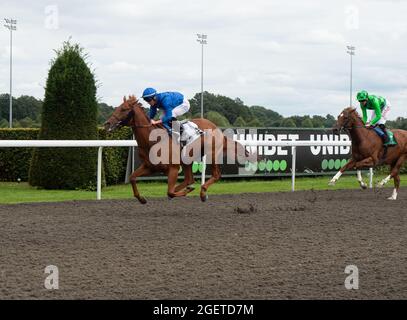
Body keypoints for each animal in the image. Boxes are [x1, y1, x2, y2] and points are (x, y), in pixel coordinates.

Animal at [105, 94, 252, 202]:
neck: (152, 140)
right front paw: (141, 198)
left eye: (123, 109)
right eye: (117, 107)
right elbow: (132, 178)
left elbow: (169, 192)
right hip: (187, 160)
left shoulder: (174, 168)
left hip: (212, 154)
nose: (107, 124)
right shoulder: (149, 166)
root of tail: (217, 128)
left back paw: (202, 192)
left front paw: (186, 191)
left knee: (215, 175)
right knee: (189, 179)